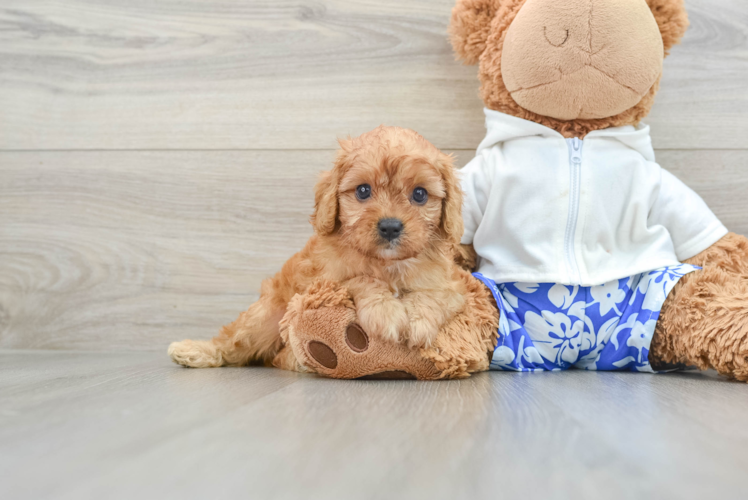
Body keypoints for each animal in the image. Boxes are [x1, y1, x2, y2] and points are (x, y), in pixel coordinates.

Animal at [172, 127, 470, 370]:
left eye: (419, 194)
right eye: (363, 191)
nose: (390, 227)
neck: (387, 264)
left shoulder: (452, 285)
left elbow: (433, 295)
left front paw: (419, 321)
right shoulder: (323, 282)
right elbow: (360, 279)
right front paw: (385, 312)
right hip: (264, 317)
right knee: (235, 342)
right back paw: (194, 350)